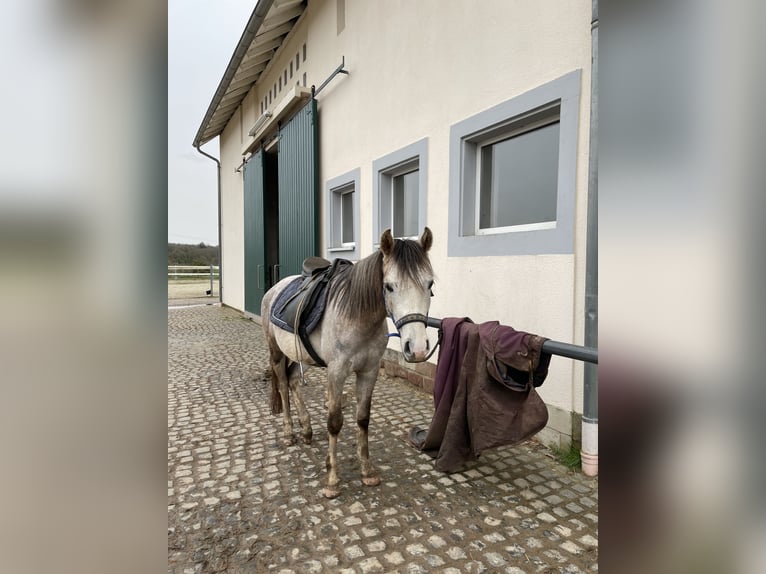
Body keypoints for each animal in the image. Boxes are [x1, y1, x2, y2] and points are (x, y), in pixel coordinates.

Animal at [260, 227, 436, 498]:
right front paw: (332, 479)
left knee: (292, 381)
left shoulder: (369, 371)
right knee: (281, 385)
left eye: (430, 284)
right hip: (277, 352)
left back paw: (306, 429)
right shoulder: (337, 372)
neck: (358, 316)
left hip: (302, 356)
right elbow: (335, 422)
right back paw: (289, 433)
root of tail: (274, 289)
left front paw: (367, 471)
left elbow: (363, 419)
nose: (416, 349)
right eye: (389, 286)